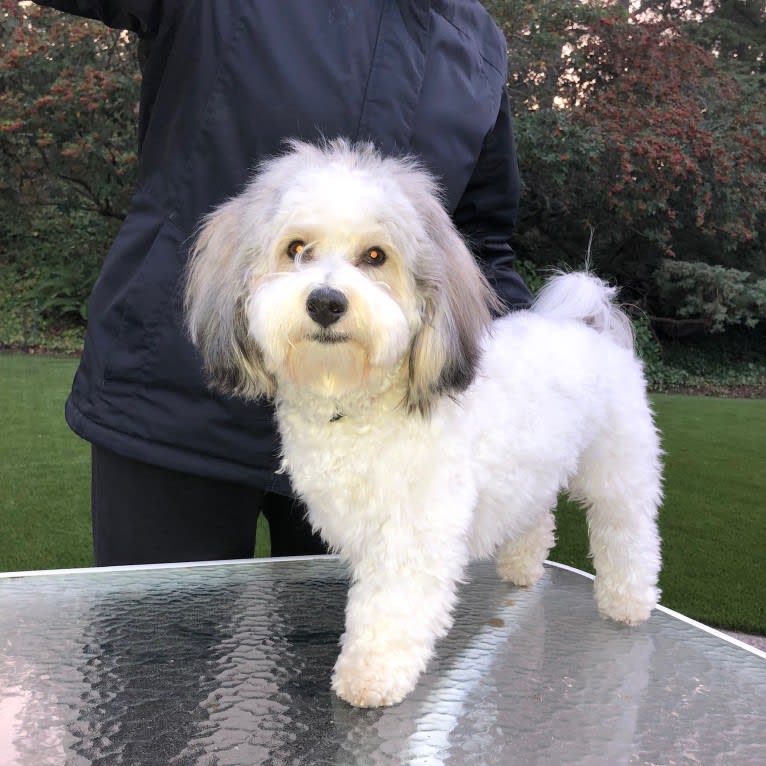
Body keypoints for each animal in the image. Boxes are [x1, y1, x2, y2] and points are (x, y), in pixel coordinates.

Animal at [188, 141, 664, 712]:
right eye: (296, 248)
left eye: (376, 256)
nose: (325, 302)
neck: (361, 402)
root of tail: (589, 324)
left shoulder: (415, 526)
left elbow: (393, 605)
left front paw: (371, 674)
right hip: (532, 470)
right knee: (536, 517)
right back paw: (522, 567)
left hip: (619, 470)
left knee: (627, 533)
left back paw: (628, 601)